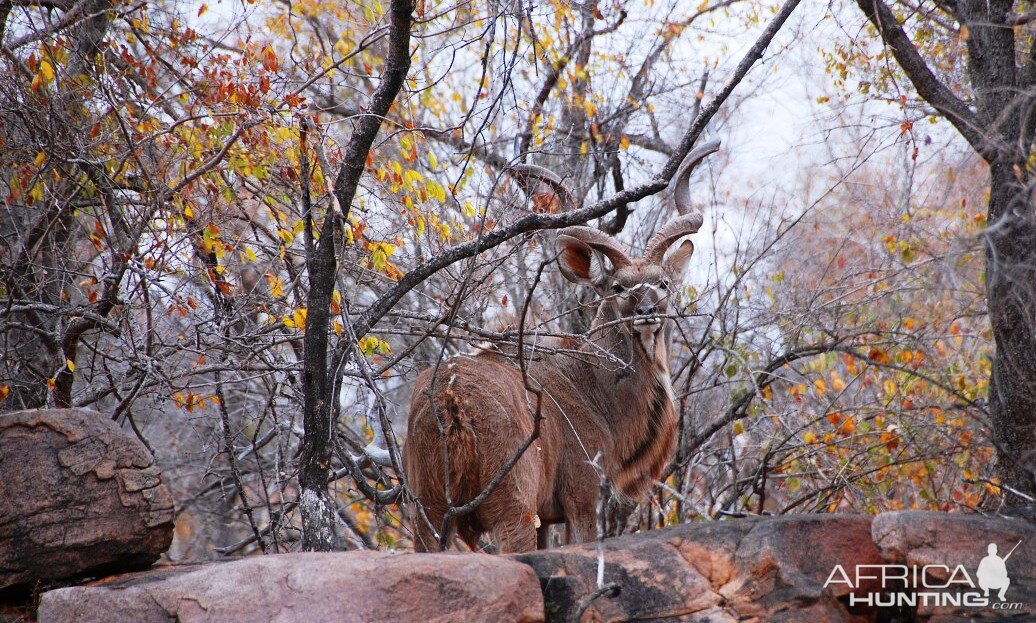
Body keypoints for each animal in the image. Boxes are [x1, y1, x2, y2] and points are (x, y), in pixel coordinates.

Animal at [404, 139, 721, 547]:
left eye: (663, 283)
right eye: (617, 287)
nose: (647, 311)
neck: (588, 381)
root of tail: (449, 400)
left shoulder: (548, 518)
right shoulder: (582, 498)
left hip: (427, 512)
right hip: (513, 513)